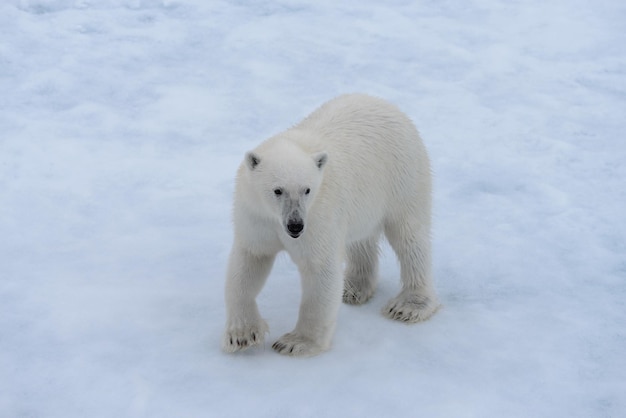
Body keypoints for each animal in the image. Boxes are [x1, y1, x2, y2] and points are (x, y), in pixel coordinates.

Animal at [222, 94, 436, 356]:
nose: (295, 226)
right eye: (277, 190)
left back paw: (409, 305)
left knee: (409, 237)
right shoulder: (255, 215)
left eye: (307, 189)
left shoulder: (318, 215)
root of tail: (386, 104)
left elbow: (319, 269)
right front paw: (241, 335)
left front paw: (295, 342)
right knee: (360, 240)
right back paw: (353, 288)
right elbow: (249, 262)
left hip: (403, 177)